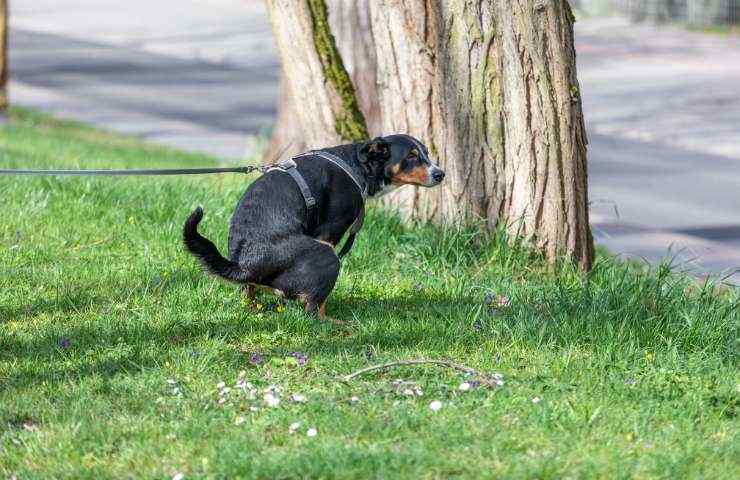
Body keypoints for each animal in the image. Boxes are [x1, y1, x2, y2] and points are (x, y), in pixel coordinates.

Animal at [184, 135, 446, 320]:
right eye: (411, 156)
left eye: (426, 153)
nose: (440, 174)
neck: (356, 166)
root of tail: (246, 265)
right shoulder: (329, 231)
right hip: (327, 254)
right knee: (311, 311)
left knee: (248, 293)